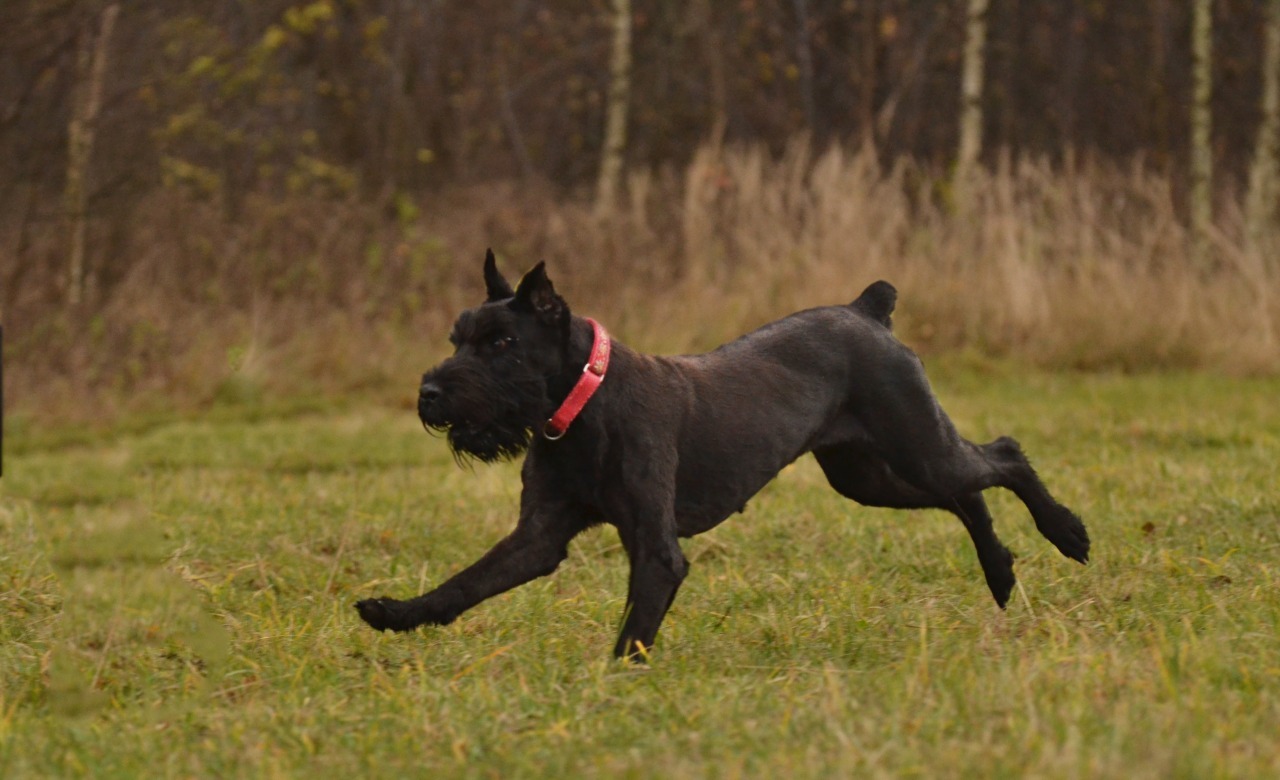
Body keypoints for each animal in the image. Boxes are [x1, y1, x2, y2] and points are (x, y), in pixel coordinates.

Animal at [355, 252, 1085, 660]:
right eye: (457, 337)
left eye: (502, 343)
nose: (428, 393)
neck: (584, 408)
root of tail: (866, 311)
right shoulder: (539, 536)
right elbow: (467, 583)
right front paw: (397, 615)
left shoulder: (656, 549)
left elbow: (633, 632)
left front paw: (610, 688)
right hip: (871, 474)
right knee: (968, 493)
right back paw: (1001, 574)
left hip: (915, 446)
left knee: (1003, 457)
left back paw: (1067, 533)